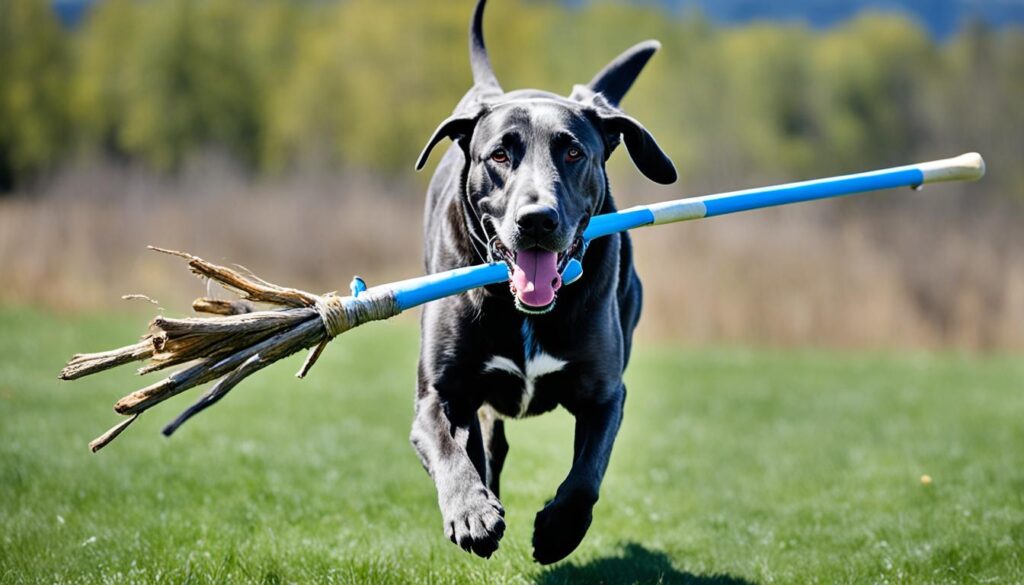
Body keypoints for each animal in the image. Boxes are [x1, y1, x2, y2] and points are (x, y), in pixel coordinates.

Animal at [411, 1, 675, 569]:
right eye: (499, 155)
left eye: (573, 153)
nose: (537, 219)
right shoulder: (439, 394)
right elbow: (450, 449)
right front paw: (471, 512)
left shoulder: (606, 393)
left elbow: (586, 476)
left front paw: (558, 530)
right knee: (484, 444)